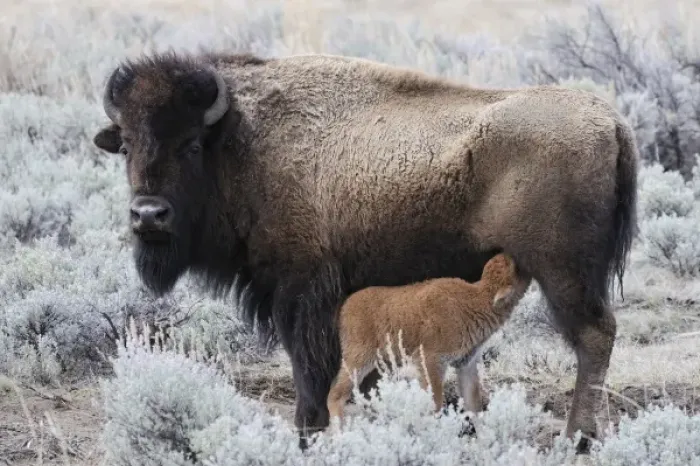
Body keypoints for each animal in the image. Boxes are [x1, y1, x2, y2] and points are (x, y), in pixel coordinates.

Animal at [91, 51, 638, 453]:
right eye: (127, 146)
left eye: (191, 146)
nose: (148, 215)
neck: (244, 140)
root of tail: (612, 123)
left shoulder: (302, 292)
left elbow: (310, 369)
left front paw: (308, 433)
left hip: (564, 275)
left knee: (594, 337)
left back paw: (578, 438)